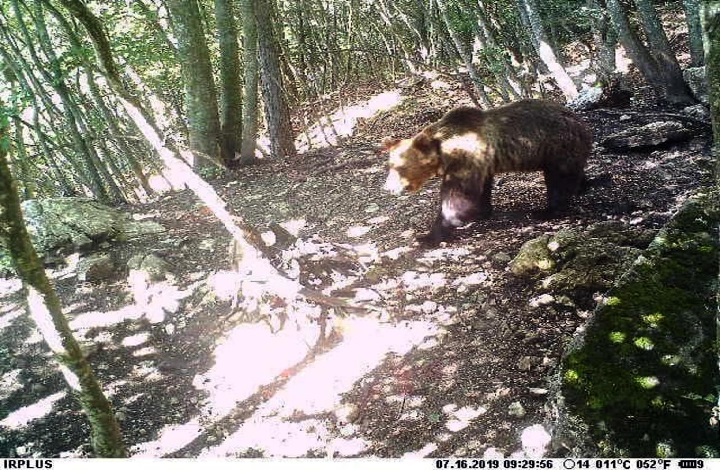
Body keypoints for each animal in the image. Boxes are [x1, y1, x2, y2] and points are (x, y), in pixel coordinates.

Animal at [383, 99, 593, 245]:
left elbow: (457, 195)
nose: (388, 188)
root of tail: (579, 120)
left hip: (556, 146)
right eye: (390, 165)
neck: (443, 152)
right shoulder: (481, 163)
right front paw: (481, 211)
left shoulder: (464, 158)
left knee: (559, 180)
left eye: (399, 167)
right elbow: (481, 189)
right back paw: (584, 186)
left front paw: (430, 235)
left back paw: (546, 211)